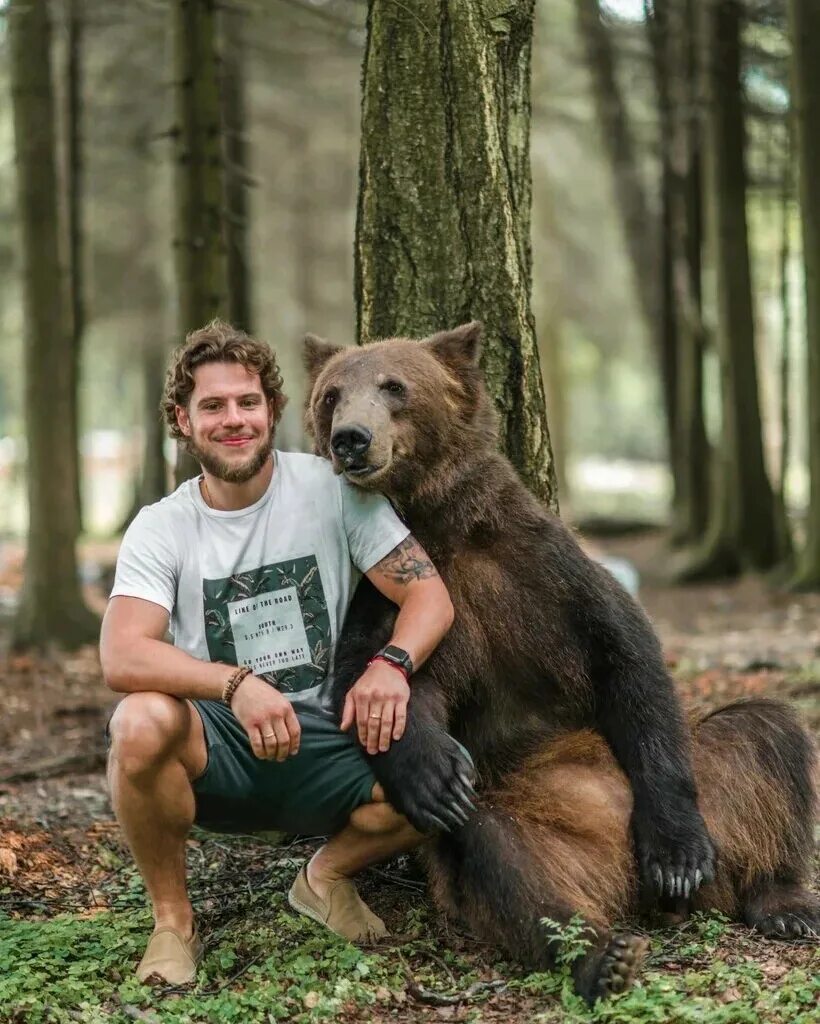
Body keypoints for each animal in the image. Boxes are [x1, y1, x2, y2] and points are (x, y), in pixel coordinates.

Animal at [303, 321, 819, 1002]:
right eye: (332, 395)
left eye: (394, 385)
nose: (351, 439)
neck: (442, 525)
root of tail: (628, 884)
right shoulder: (388, 592)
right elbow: (369, 686)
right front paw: (430, 772)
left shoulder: (543, 569)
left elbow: (626, 653)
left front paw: (677, 851)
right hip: (529, 817)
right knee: (502, 854)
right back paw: (603, 955)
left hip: (713, 786)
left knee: (764, 735)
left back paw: (781, 900)